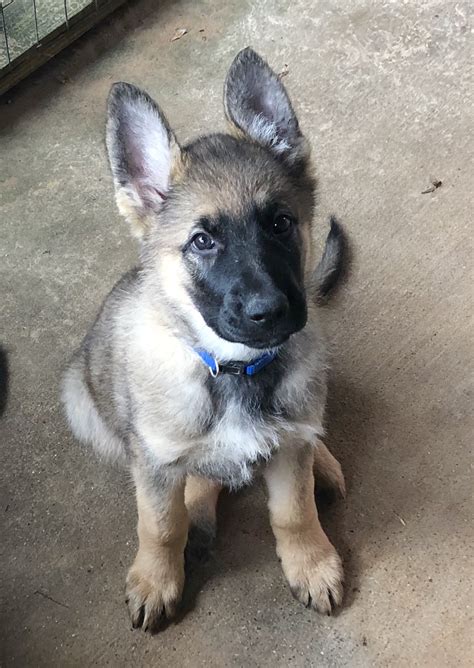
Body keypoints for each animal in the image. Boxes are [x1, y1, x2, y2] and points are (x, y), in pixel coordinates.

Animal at [62, 47, 344, 632]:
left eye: (280, 223)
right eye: (202, 241)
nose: (271, 312)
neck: (234, 367)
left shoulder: (289, 451)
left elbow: (293, 511)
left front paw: (311, 562)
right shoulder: (152, 462)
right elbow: (159, 524)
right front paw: (156, 577)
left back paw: (320, 462)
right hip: (83, 405)